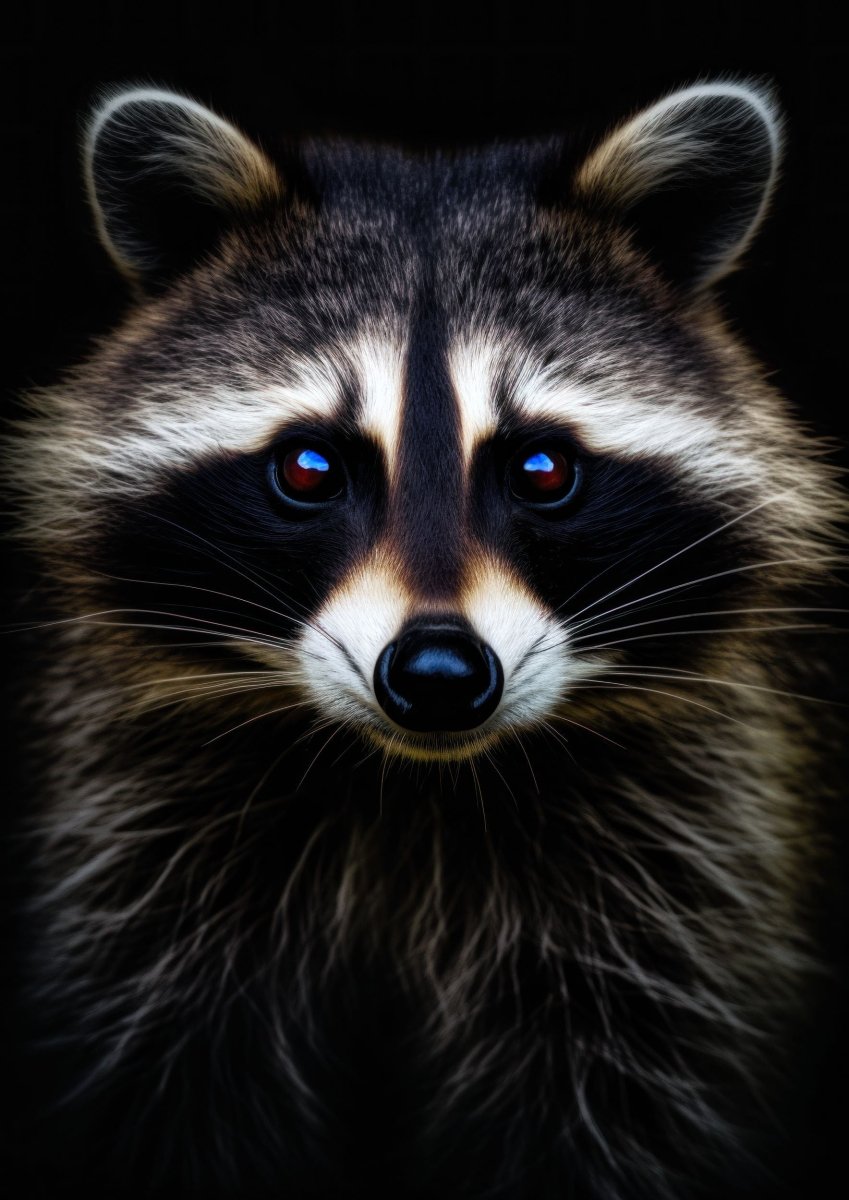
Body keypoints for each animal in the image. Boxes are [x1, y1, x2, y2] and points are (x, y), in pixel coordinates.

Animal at [6, 81, 845, 1198]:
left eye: (541, 469)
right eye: (310, 467)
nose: (439, 674)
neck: (412, 786)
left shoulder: (683, 860)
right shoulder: (135, 853)